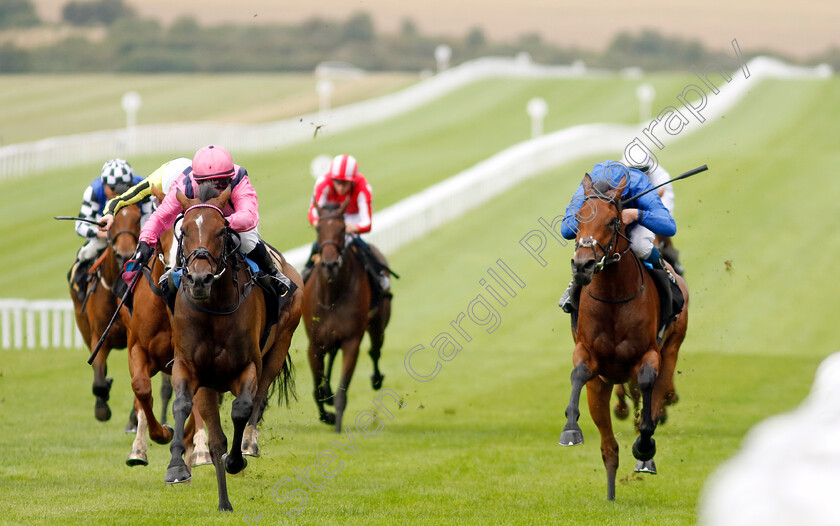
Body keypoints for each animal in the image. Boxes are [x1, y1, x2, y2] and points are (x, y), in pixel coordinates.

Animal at [162, 185, 304, 512]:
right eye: (184, 231)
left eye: (221, 231)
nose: (199, 279)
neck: (213, 309)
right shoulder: (189, 368)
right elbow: (182, 406)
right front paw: (177, 467)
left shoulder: (247, 365)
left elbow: (241, 409)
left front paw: (236, 460)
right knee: (215, 440)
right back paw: (224, 502)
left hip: (279, 347)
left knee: (259, 399)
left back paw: (249, 445)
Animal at [304, 201, 392, 434]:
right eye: (318, 229)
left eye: (343, 229)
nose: (329, 264)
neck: (332, 296)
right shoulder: (314, 343)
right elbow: (316, 389)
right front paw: (327, 413)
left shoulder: (352, 341)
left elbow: (342, 391)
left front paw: (335, 422)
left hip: (378, 323)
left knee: (375, 351)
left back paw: (377, 379)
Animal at [556, 174, 688, 504]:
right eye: (578, 218)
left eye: (613, 221)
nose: (583, 265)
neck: (614, 297)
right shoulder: (588, 355)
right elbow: (579, 373)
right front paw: (570, 430)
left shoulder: (649, 354)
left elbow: (647, 384)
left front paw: (644, 446)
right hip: (601, 386)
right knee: (609, 447)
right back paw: (611, 492)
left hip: (672, 350)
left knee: (656, 395)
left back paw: (645, 456)